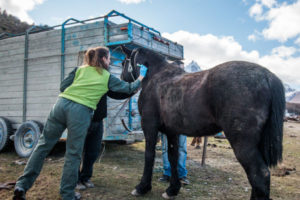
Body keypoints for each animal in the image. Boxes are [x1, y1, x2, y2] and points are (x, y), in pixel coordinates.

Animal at [120, 45, 286, 200]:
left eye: (123, 62)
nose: (122, 77)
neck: (157, 77)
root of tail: (268, 77)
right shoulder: (172, 131)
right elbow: (173, 158)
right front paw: (172, 189)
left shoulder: (150, 126)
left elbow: (149, 155)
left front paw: (142, 187)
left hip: (243, 143)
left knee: (260, 175)